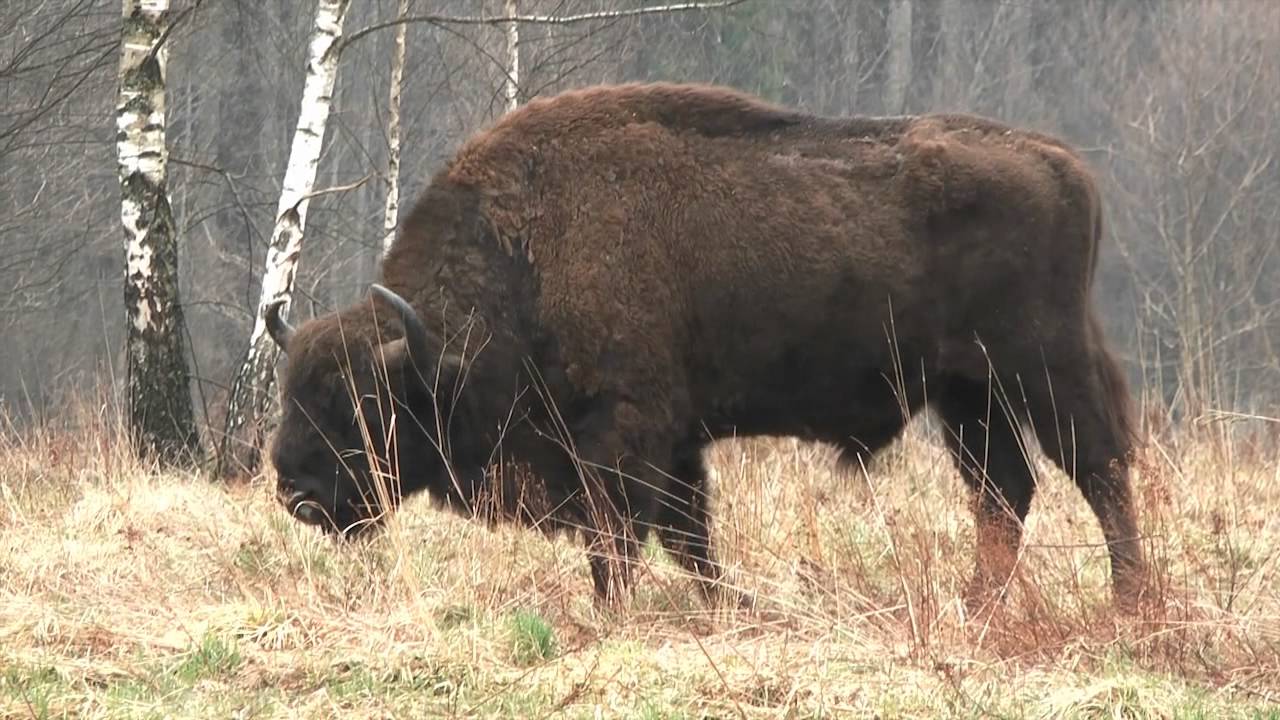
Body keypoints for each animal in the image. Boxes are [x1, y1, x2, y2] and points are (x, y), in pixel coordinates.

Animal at [265, 82, 1147, 611]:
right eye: (292, 392)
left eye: (365, 402)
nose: (296, 491)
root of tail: (1063, 164)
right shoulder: (676, 440)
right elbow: (689, 539)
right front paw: (731, 606)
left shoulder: (622, 433)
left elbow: (622, 537)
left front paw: (614, 613)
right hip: (964, 393)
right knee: (1004, 491)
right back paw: (975, 605)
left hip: (1045, 367)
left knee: (1098, 470)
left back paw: (1130, 601)